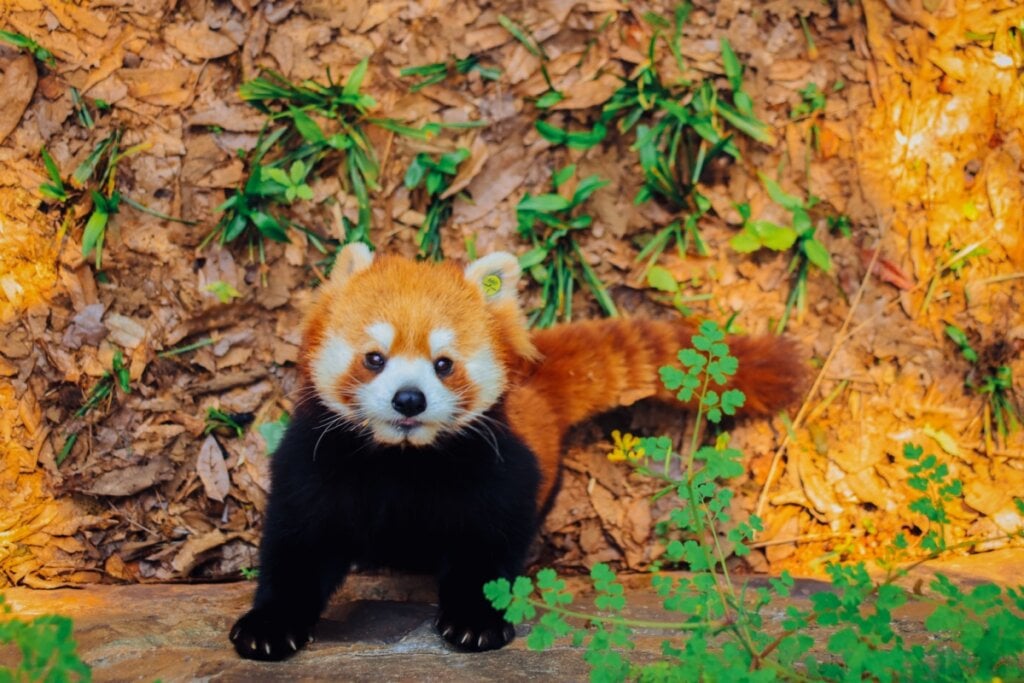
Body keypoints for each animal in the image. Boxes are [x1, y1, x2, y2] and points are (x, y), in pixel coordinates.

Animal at [228, 242, 802, 659]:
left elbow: (489, 543)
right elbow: (298, 545)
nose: (409, 399)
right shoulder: (316, 462)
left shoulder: (499, 470)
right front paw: (269, 625)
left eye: (443, 364)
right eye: (374, 358)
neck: (404, 459)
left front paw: (476, 621)